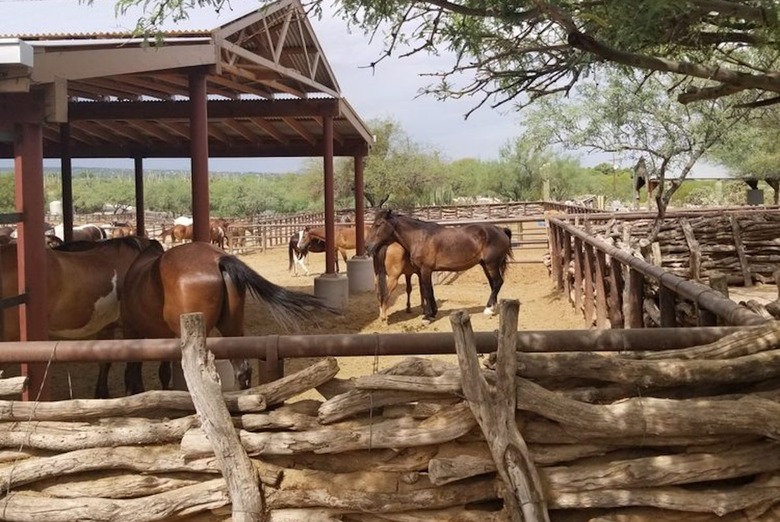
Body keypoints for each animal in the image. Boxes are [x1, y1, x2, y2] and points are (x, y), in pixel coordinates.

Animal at [364, 207, 512, 320]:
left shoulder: (425, 270)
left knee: (498, 282)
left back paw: (488, 309)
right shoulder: (426, 271)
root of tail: (501, 230)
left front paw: (428, 316)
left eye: (378, 224)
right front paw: (433, 312)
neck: (420, 237)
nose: (367, 247)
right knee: (493, 284)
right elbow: (430, 290)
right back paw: (491, 308)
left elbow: (426, 290)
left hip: (491, 264)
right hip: (486, 265)